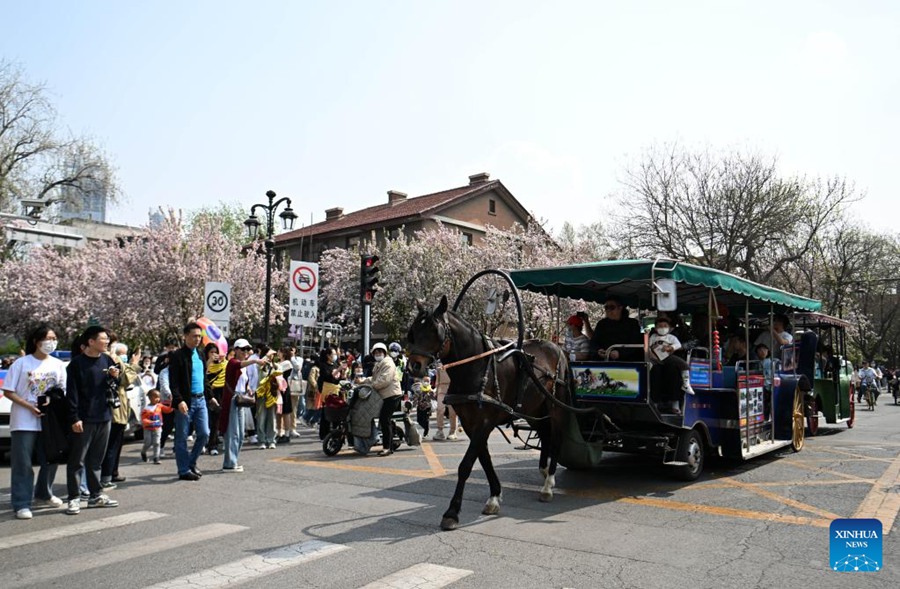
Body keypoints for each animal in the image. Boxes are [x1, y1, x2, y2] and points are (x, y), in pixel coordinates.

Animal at [406, 296, 572, 532]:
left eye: (434, 330)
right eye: (413, 331)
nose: (414, 366)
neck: (476, 367)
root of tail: (556, 347)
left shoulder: (484, 422)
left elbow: (466, 465)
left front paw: (452, 512)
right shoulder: (470, 423)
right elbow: (484, 460)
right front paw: (494, 496)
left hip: (555, 407)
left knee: (556, 438)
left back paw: (548, 484)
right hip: (533, 409)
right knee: (545, 435)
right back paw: (544, 470)